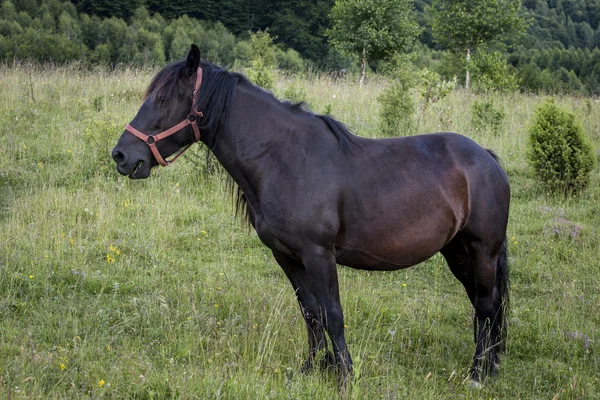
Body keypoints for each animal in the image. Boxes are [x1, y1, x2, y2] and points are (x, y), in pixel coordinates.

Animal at [112, 44, 510, 384]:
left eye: (162, 99)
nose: (121, 155)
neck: (284, 159)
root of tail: (487, 158)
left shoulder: (319, 255)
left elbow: (333, 314)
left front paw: (345, 375)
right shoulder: (287, 256)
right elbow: (311, 312)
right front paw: (312, 368)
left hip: (482, 250)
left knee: (487, 305)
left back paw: (477, 374)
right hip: (457, 252)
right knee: (484, 305)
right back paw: (489, 367)